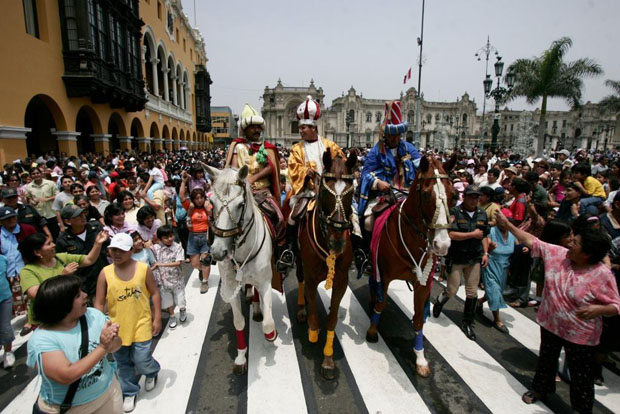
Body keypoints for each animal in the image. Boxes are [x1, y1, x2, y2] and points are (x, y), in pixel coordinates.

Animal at [207, 166, 278, 376]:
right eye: (211, 203)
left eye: (240, 205)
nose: (218, 252)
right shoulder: (231, 286)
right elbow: (238, 322)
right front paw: (240, 357)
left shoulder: (265, 282)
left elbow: (268, 324)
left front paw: (271, 334)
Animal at [296, 150, 358, 380]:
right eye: (325, 190)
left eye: (352, 191)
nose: (337, 242)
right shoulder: (312, 277)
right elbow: (314, 311)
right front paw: (313, 331)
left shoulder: (341, 281)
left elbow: (331, 320)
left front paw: (328, 360)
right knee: (300, 281)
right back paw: (301, 309)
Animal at [364, 154, 456, 378]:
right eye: (426, 195)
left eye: (454, 195)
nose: (442, 244)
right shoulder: (384, 275)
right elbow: (381, 304)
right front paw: (372, 331)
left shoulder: (422, 284)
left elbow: (419, 318)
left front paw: (420, 358)